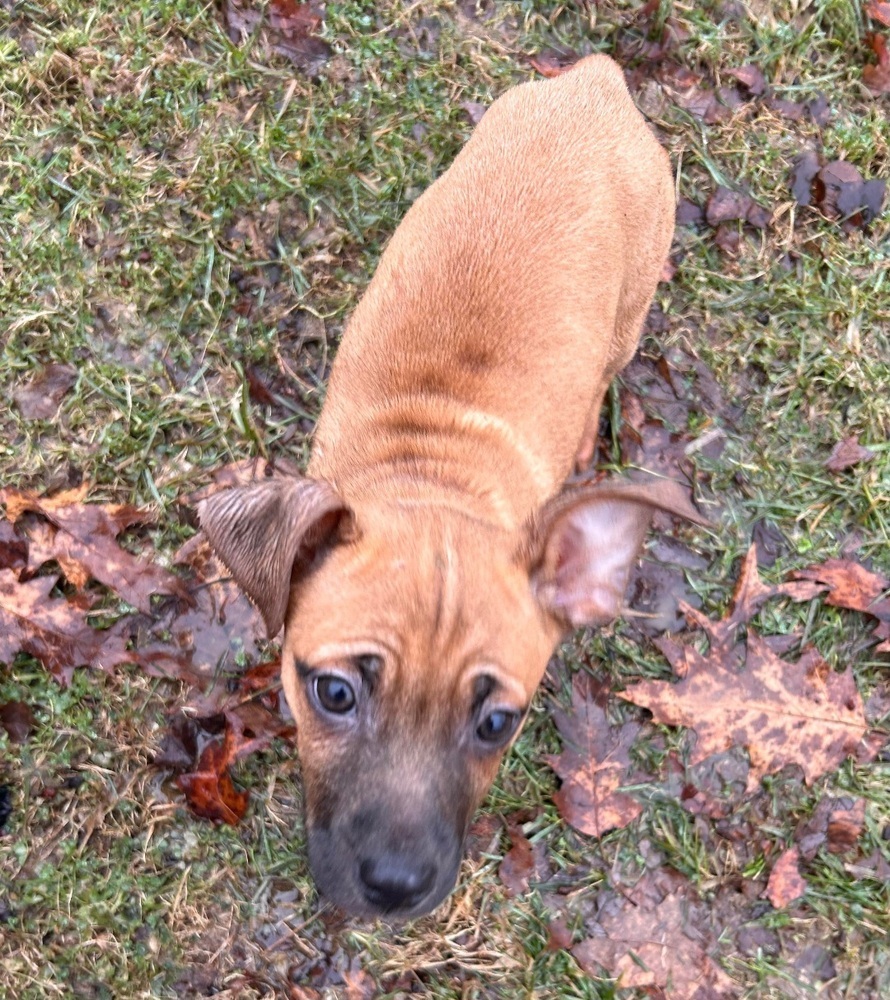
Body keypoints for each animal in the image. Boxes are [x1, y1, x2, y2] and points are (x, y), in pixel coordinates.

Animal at [198, 52, 704, 916]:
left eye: (498, 724)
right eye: (334, 694)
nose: (395, 887)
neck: (435, 475)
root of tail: (595, 78)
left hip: (634, 301)